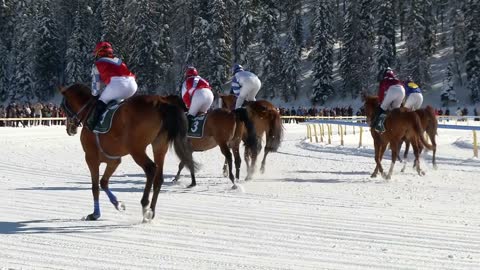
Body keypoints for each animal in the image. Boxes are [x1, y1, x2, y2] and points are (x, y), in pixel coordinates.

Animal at [60, 84, 197, 221]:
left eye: (63, 107)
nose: (70, 130)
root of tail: (161, 102)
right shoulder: (113, 160)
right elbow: (103, 182)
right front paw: (118, 204)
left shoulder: (91, 158)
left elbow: (95, 187)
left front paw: (95, 214)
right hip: (159, 146)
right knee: (158, 178)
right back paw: (151, 211)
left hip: (136, 150)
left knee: (151, 168)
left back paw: (145, 205)